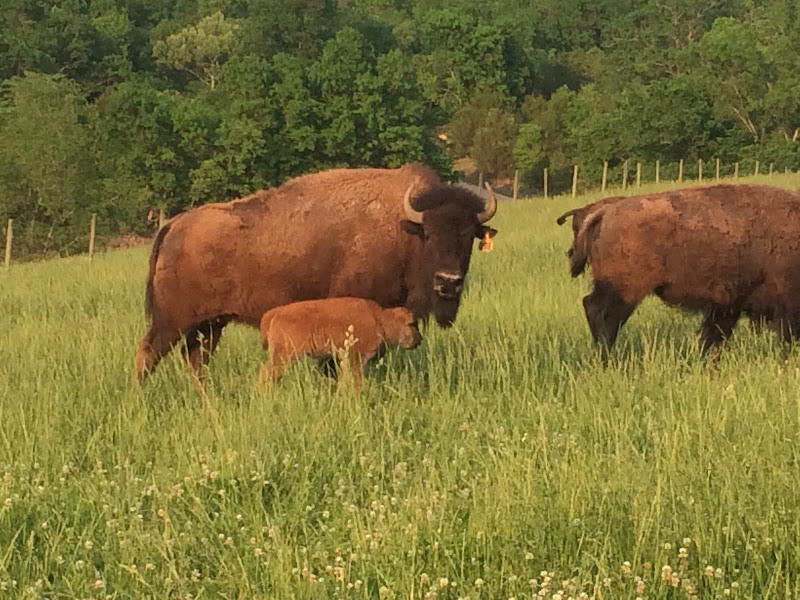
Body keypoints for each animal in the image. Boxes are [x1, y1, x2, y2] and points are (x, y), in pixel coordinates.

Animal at [135, 162, 498, 385]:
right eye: (430, 235)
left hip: (209, 325)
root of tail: (174, 224)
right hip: (172, 321)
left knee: (196, 362)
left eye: (469, 235)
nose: (448, 282)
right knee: (148, 354)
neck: (403, 228)